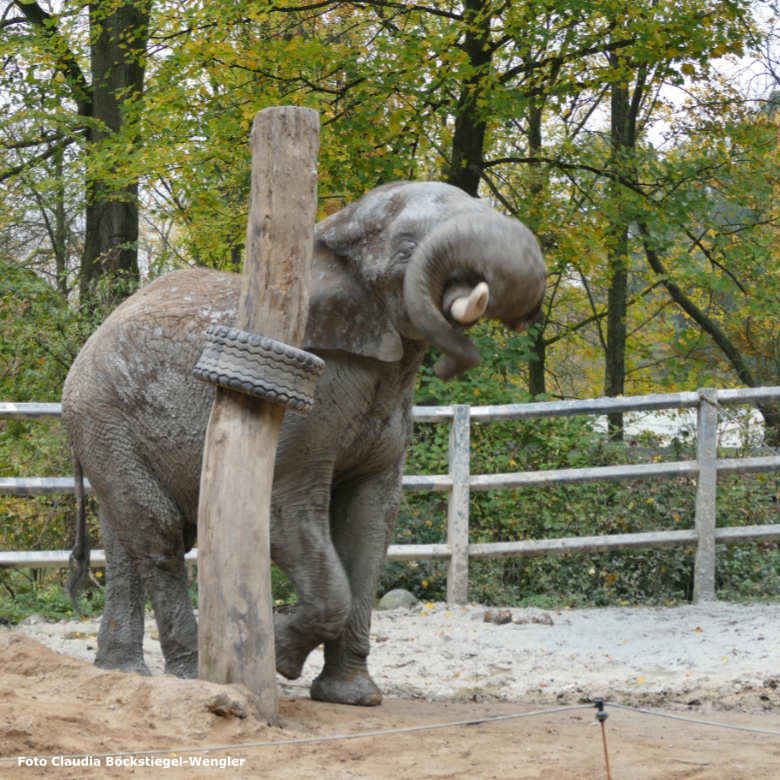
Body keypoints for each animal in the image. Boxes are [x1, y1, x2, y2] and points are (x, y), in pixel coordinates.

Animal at [62, 181, 544, 708]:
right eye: (406, 248)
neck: (334, 228)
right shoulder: (305, 395)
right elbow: (284, 509)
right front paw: (280, 658)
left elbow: (372, 521)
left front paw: (353, 697)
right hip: (101, 414)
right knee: (160, 533)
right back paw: (191, 674)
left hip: (108, 427)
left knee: (126, 536)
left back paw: (122, 671)